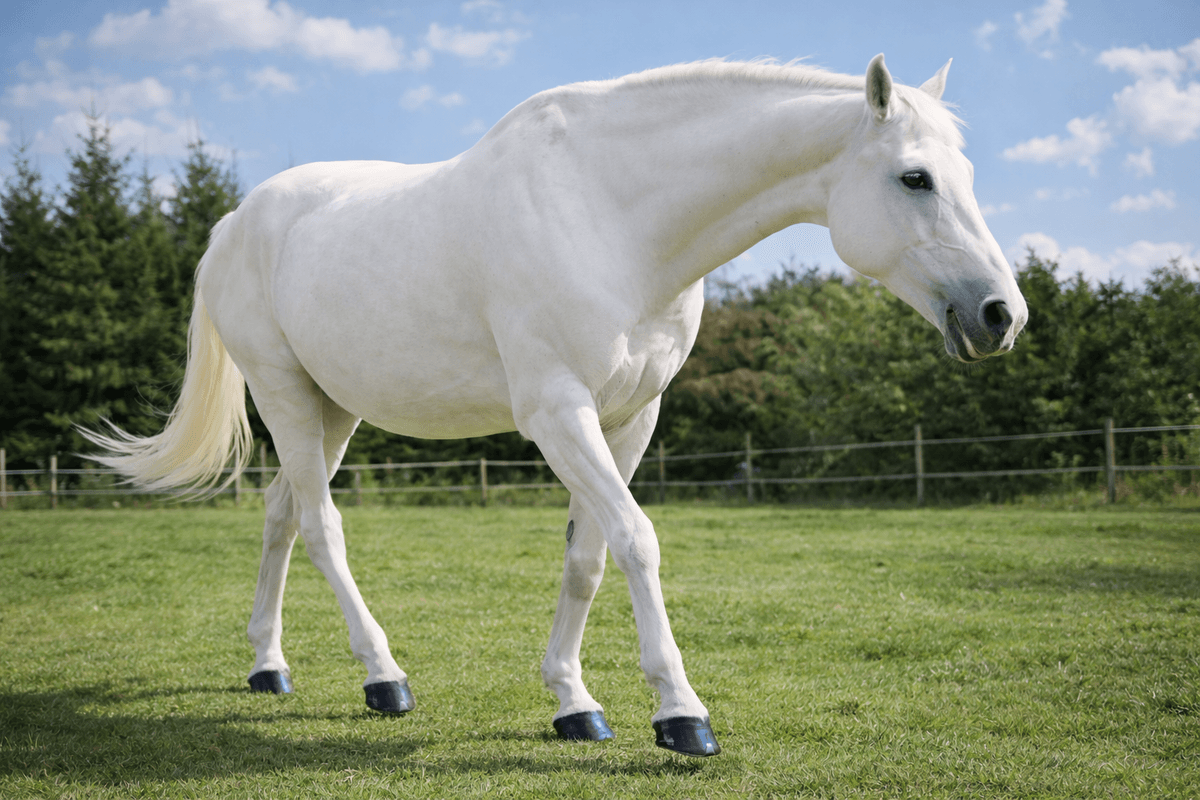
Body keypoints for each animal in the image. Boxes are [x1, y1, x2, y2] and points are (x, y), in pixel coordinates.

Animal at [81, 55, 1027, 757]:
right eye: (915, 177)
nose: (1001, 314)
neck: (610, 214)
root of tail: (234, 223)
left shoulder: (629, 417)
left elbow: (588, 557)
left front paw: (573, 702)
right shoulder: (556, 414)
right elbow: (636, 540)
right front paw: (680, 714)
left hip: (331, 407)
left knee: (280, 519)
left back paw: (269, 665)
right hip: (284, 394)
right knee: (320, 529)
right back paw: (383, 678)